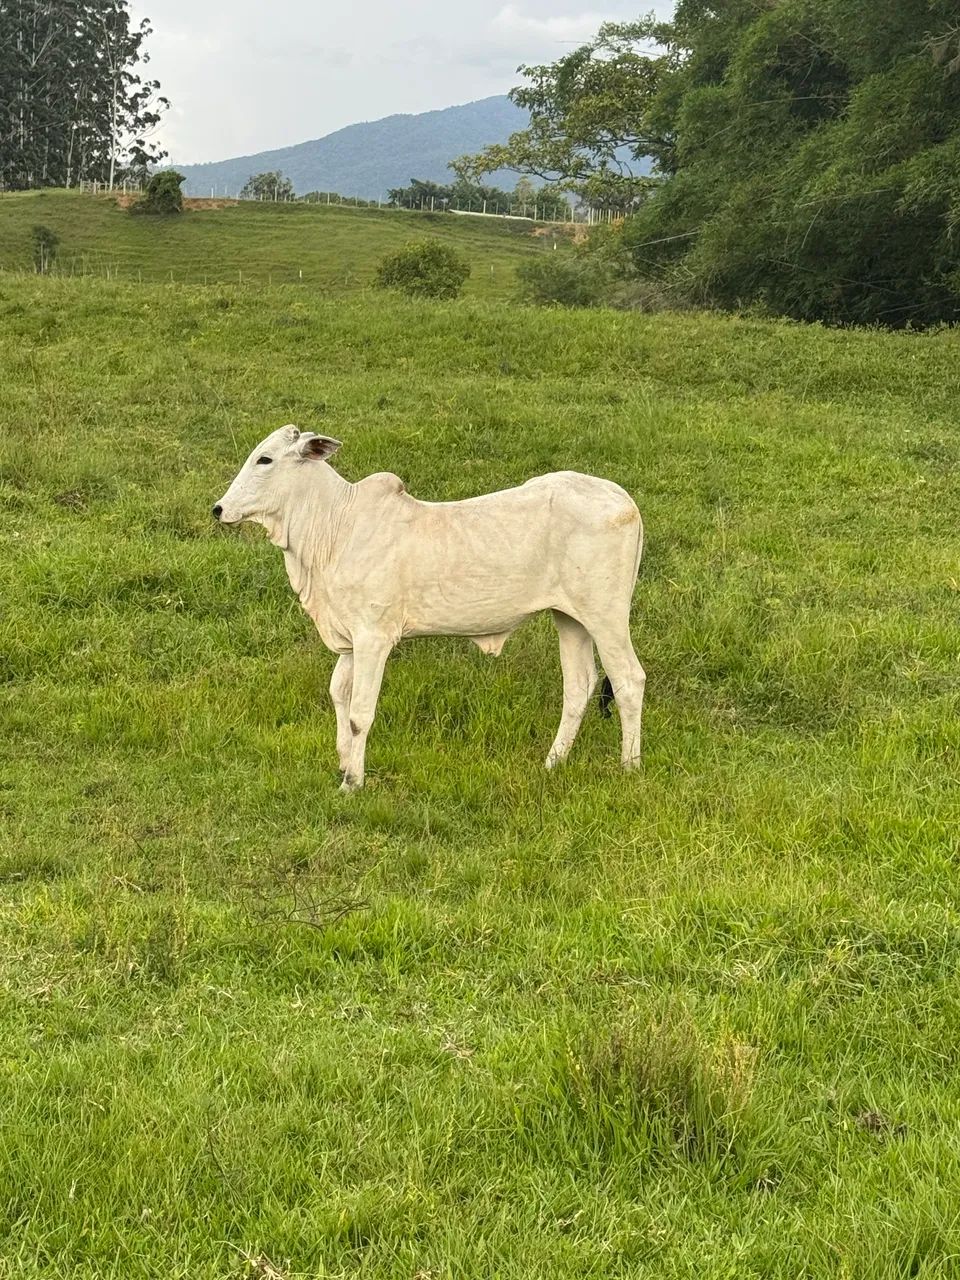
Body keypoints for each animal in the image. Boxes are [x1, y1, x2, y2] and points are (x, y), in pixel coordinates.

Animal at [213, 426, 646, 791]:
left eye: (265, 459)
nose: (218, 509)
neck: (334, 527)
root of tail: (623, 498)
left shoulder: (374, 636)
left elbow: (359, 712)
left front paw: (352, 782)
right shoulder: (351, 635)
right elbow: (339, 693)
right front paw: (343, 762)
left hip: (606, 615)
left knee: (628, 679)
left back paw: (630, 767)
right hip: (570, 617)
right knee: (578, 686)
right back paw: (553, 763)